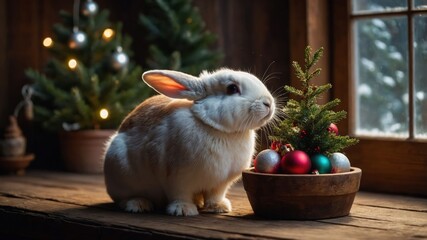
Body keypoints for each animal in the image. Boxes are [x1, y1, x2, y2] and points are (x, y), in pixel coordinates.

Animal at [104, 68, 278, 217]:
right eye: (232, 88)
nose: (268, 103)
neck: (219, 129)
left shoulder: (220, 183)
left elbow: (215, 195)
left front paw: (219, 207)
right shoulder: (176, 177)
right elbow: (180, 194)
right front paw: (183, 210)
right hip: (120, 170)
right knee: (123, 198)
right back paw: (139, 205)